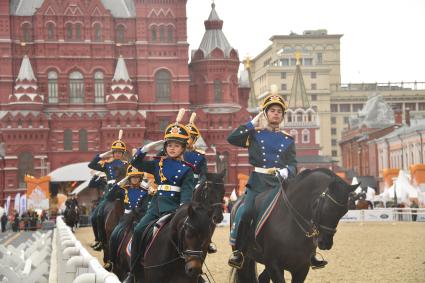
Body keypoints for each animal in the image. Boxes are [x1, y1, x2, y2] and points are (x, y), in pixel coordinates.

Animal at [229, 169, 358, 283]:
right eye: (327, 208)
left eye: (344, 211)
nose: (325, 243)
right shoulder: (274, 265)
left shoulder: (301, 268)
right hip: (244, 258)